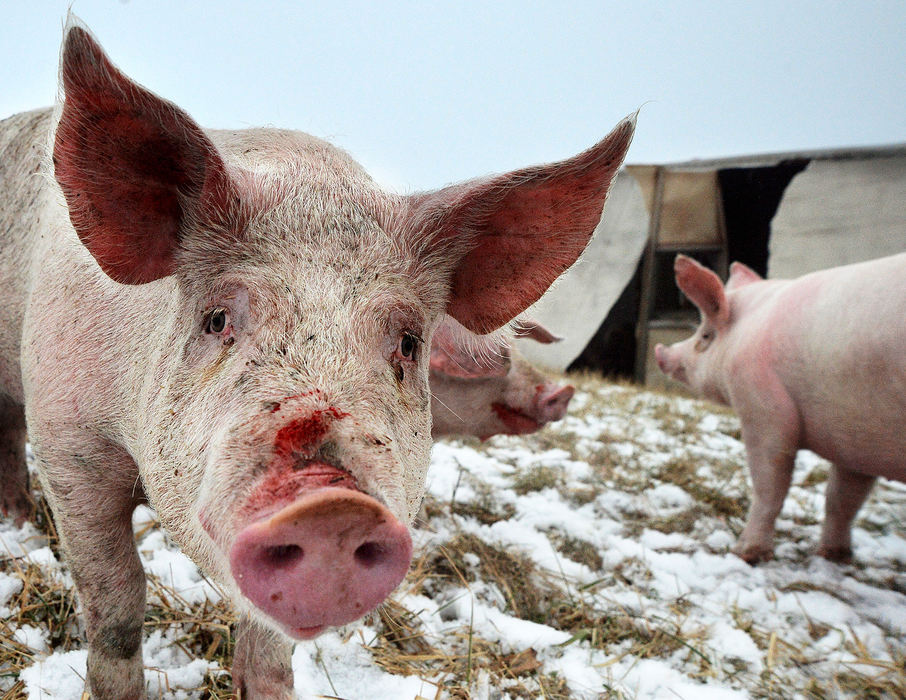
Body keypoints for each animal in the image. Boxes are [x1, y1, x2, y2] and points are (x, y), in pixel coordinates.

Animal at [652, 254, 904, 568]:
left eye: (705, 336)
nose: (660, 352)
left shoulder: (762, 405)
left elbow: (770, 484)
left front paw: (744, 553)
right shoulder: (856, 436)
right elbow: (843, 498)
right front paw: (834, 556)